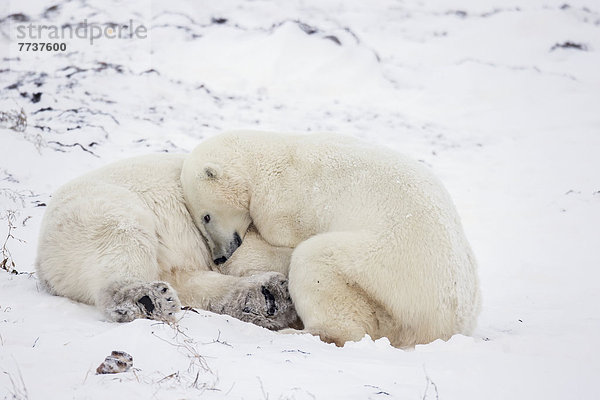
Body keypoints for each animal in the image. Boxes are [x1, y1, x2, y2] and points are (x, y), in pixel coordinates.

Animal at [35, 153, 298, 328]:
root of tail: (42, 264)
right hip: (98, 210)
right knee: (123, 239)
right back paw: (146, 299)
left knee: (190, 281)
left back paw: (266, 296)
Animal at [180, 130, 480, 346]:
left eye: (206, 216)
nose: (220, 255)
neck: (268, 159)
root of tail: (443, 325)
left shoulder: (285, 203)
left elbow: (283, 239)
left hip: (382, 270)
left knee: (316, 263)